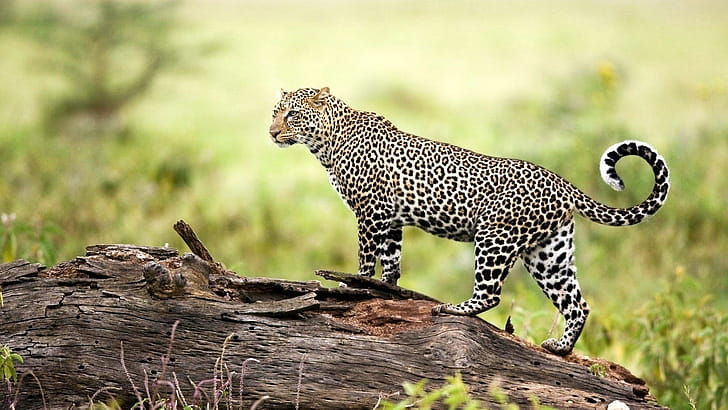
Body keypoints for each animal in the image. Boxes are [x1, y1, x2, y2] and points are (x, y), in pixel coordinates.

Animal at [268, 87, 670, 355]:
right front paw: (386, 290)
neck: (326, 143)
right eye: (274, 112)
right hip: (549, 254)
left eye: (292, 115)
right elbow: (392, 261)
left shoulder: (370, 212)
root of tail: (561, 182)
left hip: (494, 237)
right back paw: (560, 348)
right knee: (577, 303)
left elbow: (366, 258)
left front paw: (351, 288)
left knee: (491, 294)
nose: (272, 133)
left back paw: (453, 308)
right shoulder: (391, 219)